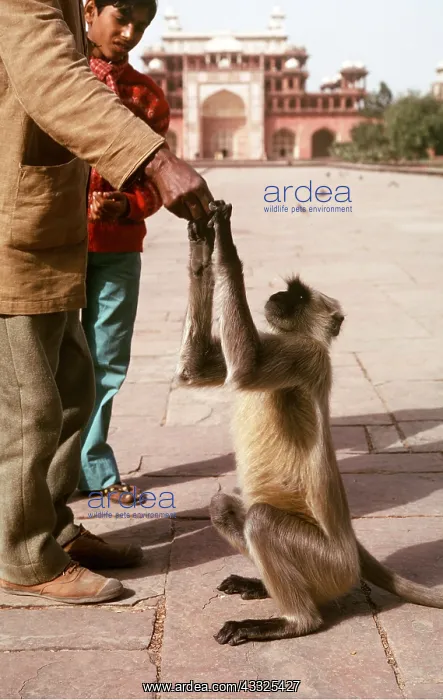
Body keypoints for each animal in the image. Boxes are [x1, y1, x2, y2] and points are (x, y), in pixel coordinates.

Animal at [176, 200, 443, 647]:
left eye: (298, 296)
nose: (278, 296)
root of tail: (349, 549)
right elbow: (193, 372)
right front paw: (201, 240)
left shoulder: (304, 355)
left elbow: (245, 371)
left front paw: (226, 243)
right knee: (222, 506)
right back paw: (262, 587)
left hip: (326, 563)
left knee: (262, 521)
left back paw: (294, 620)